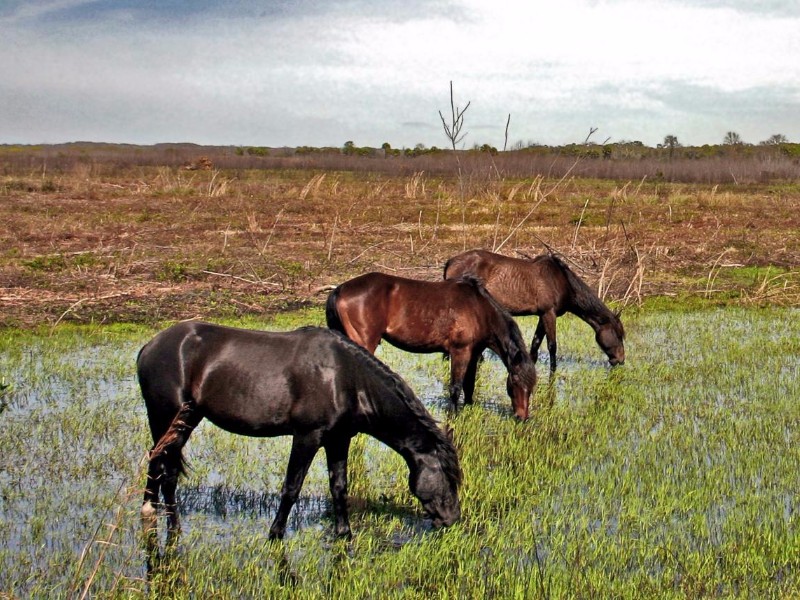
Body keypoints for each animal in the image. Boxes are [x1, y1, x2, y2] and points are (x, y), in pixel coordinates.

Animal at [138, 324, 462, 544]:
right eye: (449, 477)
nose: (452, 519)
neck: (344, 378)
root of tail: (149, 347)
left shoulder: (338, 439)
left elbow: (339, 486)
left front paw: (344, 533)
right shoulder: (307, 436)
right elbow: (292, 487)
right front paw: (275, 534)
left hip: (187, 419)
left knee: (165, 466)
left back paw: (166, 520)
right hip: (166, 417)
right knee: (159, 462)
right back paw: (154, 515)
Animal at [324, 274, 536, 420]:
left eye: (532, 386)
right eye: (515, 380)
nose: (522, 417)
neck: (479, 309)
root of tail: (340, 289)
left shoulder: (474, 353)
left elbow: (469, 385)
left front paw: (468, 409)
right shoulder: (460, 352)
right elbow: (455, 387)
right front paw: (453, 416)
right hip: (364, 342)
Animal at [444, 248, 624, 370]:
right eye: (619, 335)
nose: (621, 360)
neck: (562, 281)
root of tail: (451, 261)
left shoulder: (542, 315)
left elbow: (535, 344)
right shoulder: (549, 313)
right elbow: (552, 345)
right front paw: (553, 371)